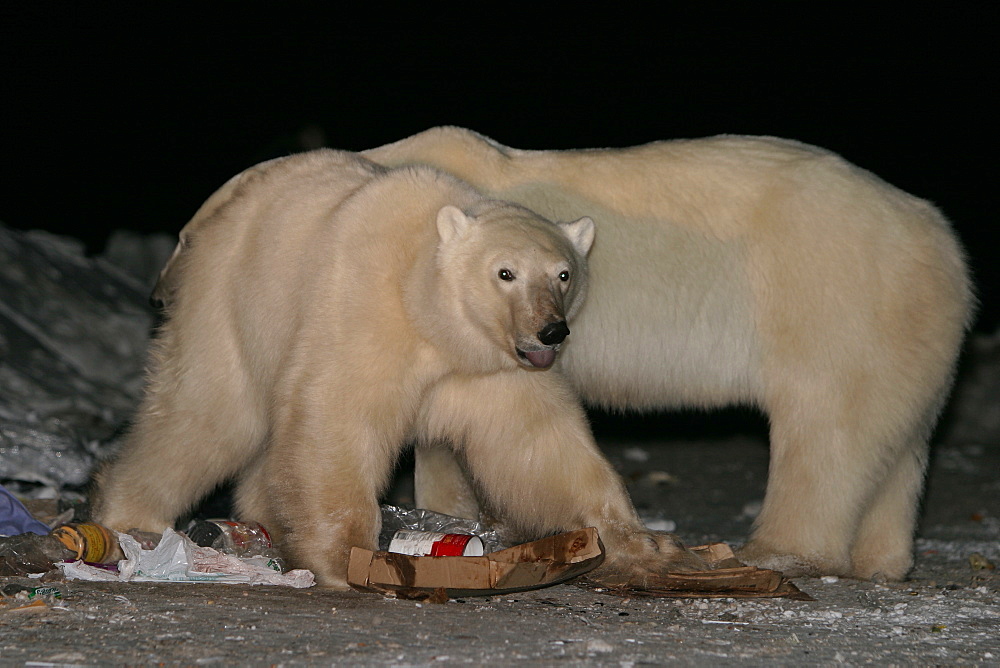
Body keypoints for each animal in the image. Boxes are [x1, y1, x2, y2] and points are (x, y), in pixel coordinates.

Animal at [92, 149, 704, 588]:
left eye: (563, 273)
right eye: (504, 272)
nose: (551, 331)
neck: (429, 307)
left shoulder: (492, 370)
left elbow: (540, 446)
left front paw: (643, 545)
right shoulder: (367, 307)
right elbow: (339, 413)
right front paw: (345, 555)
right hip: (231, 300)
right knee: (206, 413)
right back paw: (130, 516)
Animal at [362, 126, 976, 580]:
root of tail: (943, 242)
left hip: (831, 302)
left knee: (827, 431)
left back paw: (779, 550)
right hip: (904, 336)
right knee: (894, 443)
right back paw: (882, 560)